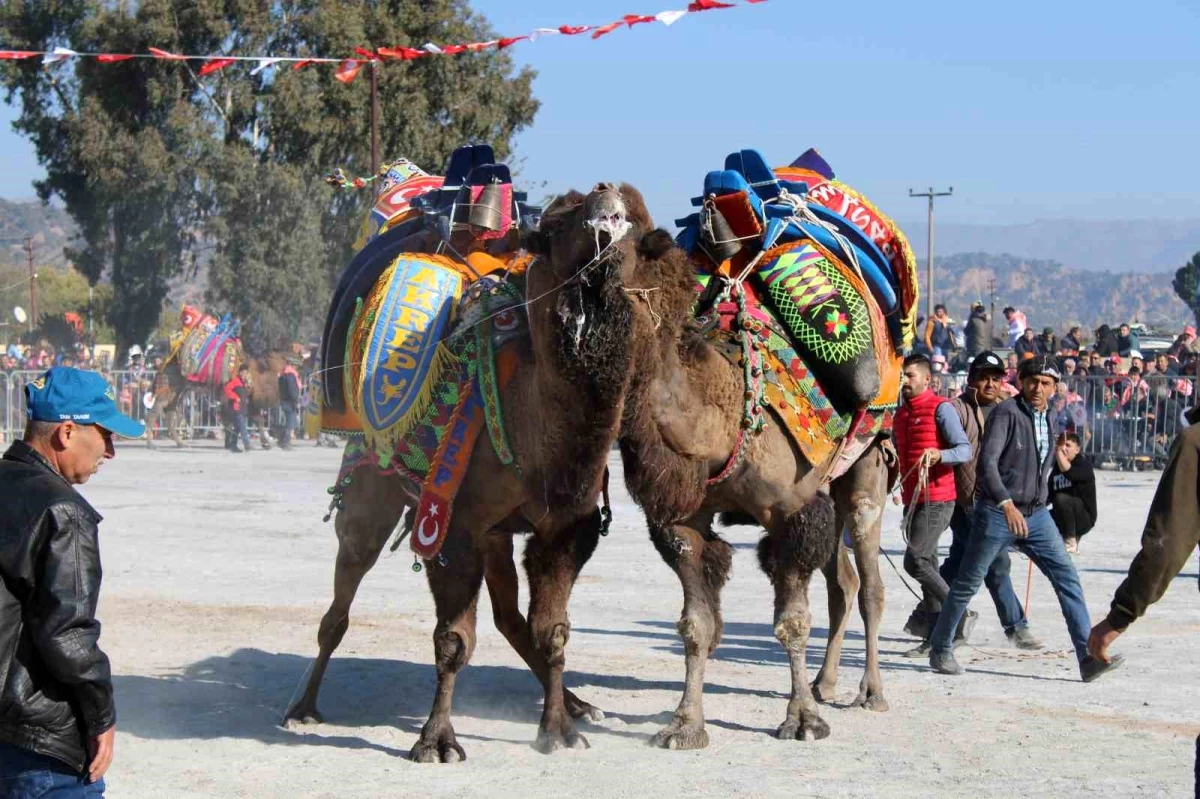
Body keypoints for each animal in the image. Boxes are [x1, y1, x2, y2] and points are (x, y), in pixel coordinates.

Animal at [145, 347, 283, 448]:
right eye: (271, 381)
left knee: (170, 413)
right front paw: (231, 443)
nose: (275, 398)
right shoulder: (229, 398)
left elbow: (256, 420)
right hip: (168, 389)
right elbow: (232, 420)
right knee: (155, 412)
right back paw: (151, 444)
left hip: (178, 392)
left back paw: (181, 443)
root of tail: (162, 366)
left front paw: (265, 443)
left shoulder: (245, 401)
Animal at [284, 182, 652, 758]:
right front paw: (436, 740)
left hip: (495, 535)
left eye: (638, 219)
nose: (605, 190)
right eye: (558, 219)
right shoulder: (450, 524)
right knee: (340, 602)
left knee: (510, 619)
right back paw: (302, 706)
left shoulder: (566, 527)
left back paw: (578, 705)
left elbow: (553, 631)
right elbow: (453, 641)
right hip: (372, 491)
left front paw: (558, 730)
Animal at [614, 226, 897, 743]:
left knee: (870, 585)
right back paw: (825, 682)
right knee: (843, 584)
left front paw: (803, 720)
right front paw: (685, 725)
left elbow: (793, 623)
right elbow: (696, 625)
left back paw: (870, 692)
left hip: (866, 468)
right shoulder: (682, 523)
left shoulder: (792, 511)